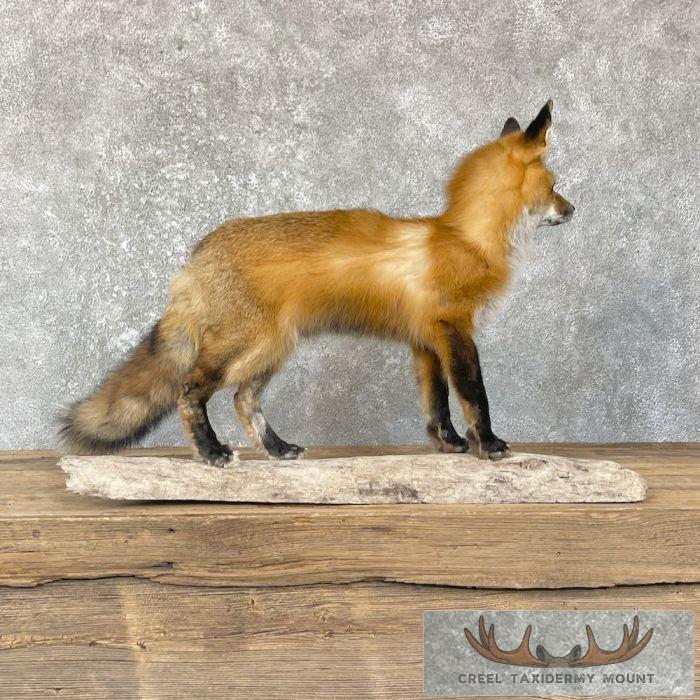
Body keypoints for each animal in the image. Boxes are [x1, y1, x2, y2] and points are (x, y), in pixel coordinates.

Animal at [59, 100, 575, 465]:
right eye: (554, 187)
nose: (573, 210)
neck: (466, 239)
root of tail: (195, 256)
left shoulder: (425, 341)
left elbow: (437, 404)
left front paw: (449, 444)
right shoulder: (455, 330)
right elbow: (474, 396)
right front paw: (489, 444)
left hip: (270, 349)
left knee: (244, 401)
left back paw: (278, 449)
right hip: (243, 345)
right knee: (190, 391)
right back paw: (211, 452)